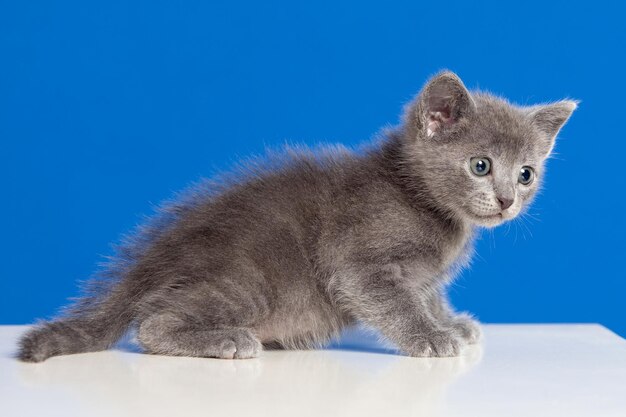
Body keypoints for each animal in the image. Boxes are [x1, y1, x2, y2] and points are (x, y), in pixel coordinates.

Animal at [17, 71, 576, 360]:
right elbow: (395, 303)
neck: (425, 203)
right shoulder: (361, 263)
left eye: (526, 173)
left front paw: (450, 321)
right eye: (481, 166)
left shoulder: (421, 275)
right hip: (247, 282)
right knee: (152, 324)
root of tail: (158, 253)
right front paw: (431, 338)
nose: (507, 200)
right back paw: (227, 340)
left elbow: (426, 294)